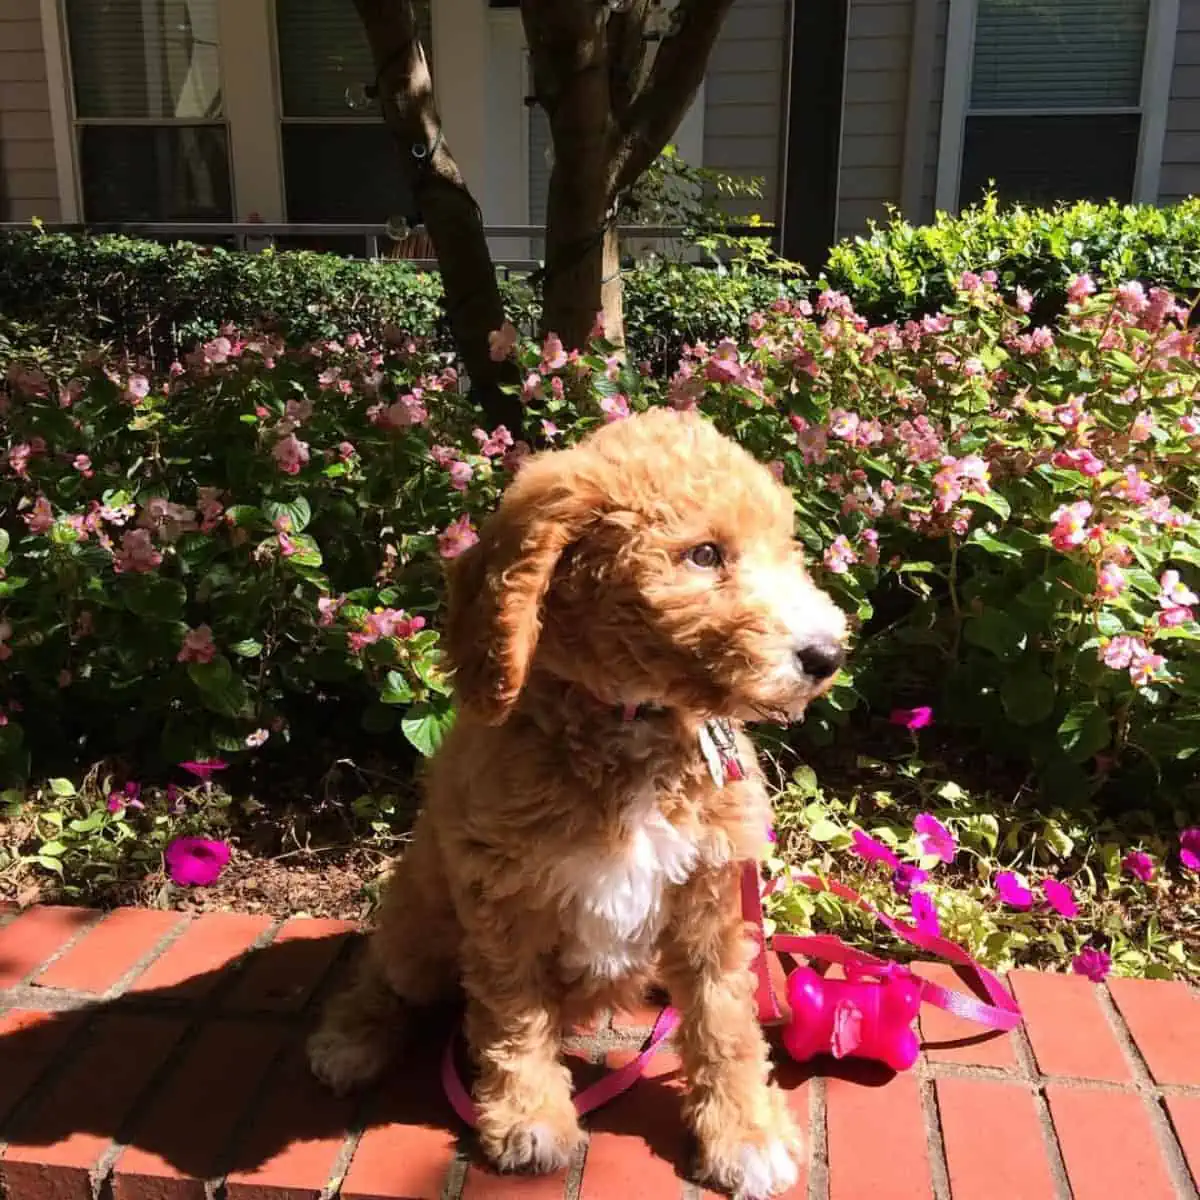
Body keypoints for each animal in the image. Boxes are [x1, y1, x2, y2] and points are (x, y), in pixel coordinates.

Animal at [309, 408, 854, 1195]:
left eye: (784, 549)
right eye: (704, 554)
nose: (827, 656)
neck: (629, 723)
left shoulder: (710, 899)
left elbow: (724, 1019)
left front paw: (745, 1133)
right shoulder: (502, 900)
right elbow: (512, 1017)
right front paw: (531, 1118)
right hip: (420, 920)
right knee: (383, 973)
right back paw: (350, 1039)